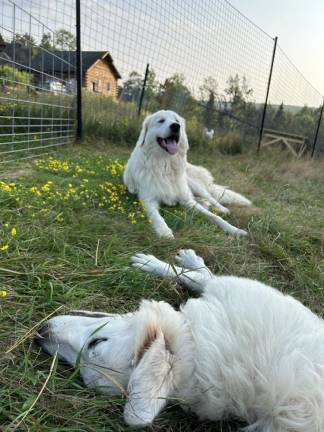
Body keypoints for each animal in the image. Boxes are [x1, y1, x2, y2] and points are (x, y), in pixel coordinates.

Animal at [36, 250, 324, 432]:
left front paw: (156, 264)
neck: (197, 349)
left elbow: (198, 277)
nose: (41, 332)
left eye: (96, 343)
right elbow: (197, 278)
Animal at [123, 109, 252, 238]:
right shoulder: (148, 200)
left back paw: (222, 209)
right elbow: (156, 217)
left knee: (211, 198)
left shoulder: (187, 201)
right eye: (161, 120)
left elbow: (214, 217)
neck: (165, 166)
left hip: (195, 186)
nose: (176, 126)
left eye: (176, 120)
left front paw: (234, 230)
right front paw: (164, 231)